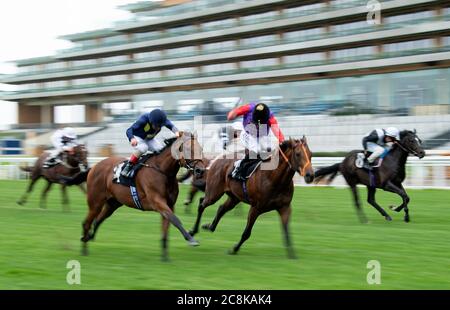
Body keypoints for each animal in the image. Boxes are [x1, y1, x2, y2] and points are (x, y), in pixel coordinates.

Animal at [67, 132, 205, 260]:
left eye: (200, 148)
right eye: (188, 149)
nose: (201, 170)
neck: (162, 171)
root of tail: (93, 168)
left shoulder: (169, 205)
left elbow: (167, 227)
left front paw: (165, 257)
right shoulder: (158, 202)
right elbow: (176, 220)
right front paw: (191, 239)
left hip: (112, 204)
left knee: (98, 220)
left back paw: (88, 237)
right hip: (95, 203)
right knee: (86, 223)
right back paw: (84, 248)